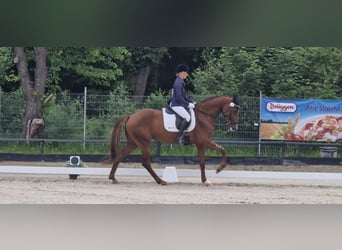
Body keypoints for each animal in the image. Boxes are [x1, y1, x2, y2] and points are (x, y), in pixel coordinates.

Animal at [104, 94, 240, 185]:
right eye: (233, 110)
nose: (235, 127)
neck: (204, 115)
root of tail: (131, 116)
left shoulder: (200, 144)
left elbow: (202, 161)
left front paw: (205, 180)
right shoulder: (204, 141)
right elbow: (222, 149)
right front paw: (219, 168)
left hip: (133, 143)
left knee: (120, 155)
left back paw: (113, 178)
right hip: (144, 143)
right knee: (145, 162)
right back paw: (161, 181)